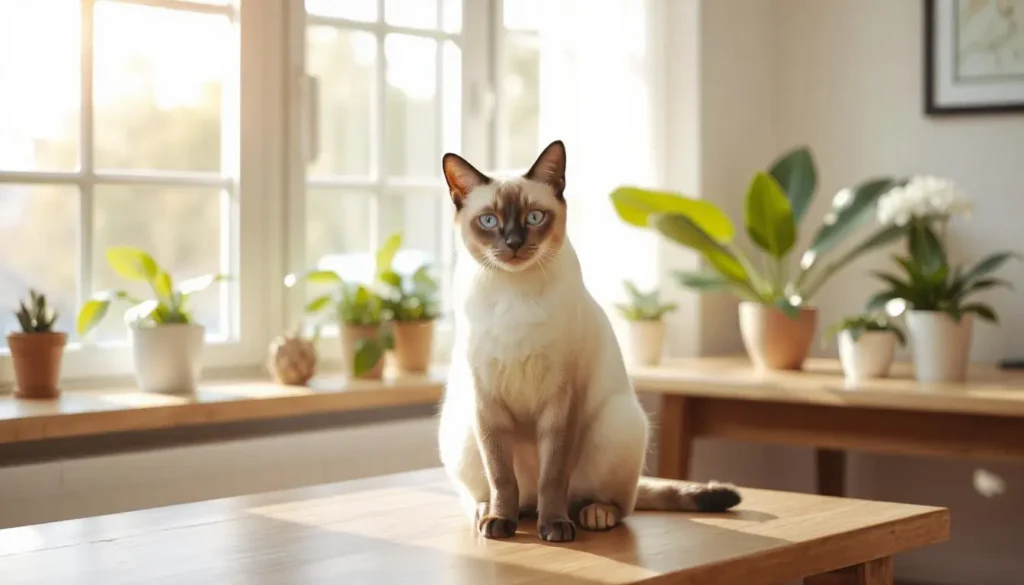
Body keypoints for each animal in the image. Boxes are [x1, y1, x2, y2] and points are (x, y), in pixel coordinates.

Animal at [436, 139, 741, 540]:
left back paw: (590, 515)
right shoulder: (487, 400)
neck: (514, 292)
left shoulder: (561, 397)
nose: (514, 243)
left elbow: (553, 476)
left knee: (609, 502)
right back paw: (492, 513)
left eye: (534, 218)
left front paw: (555, 529)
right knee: (501, 494)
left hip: (617, 425)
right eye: (489, 220)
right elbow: (501, 476)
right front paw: (500, 523)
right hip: (461, 434)